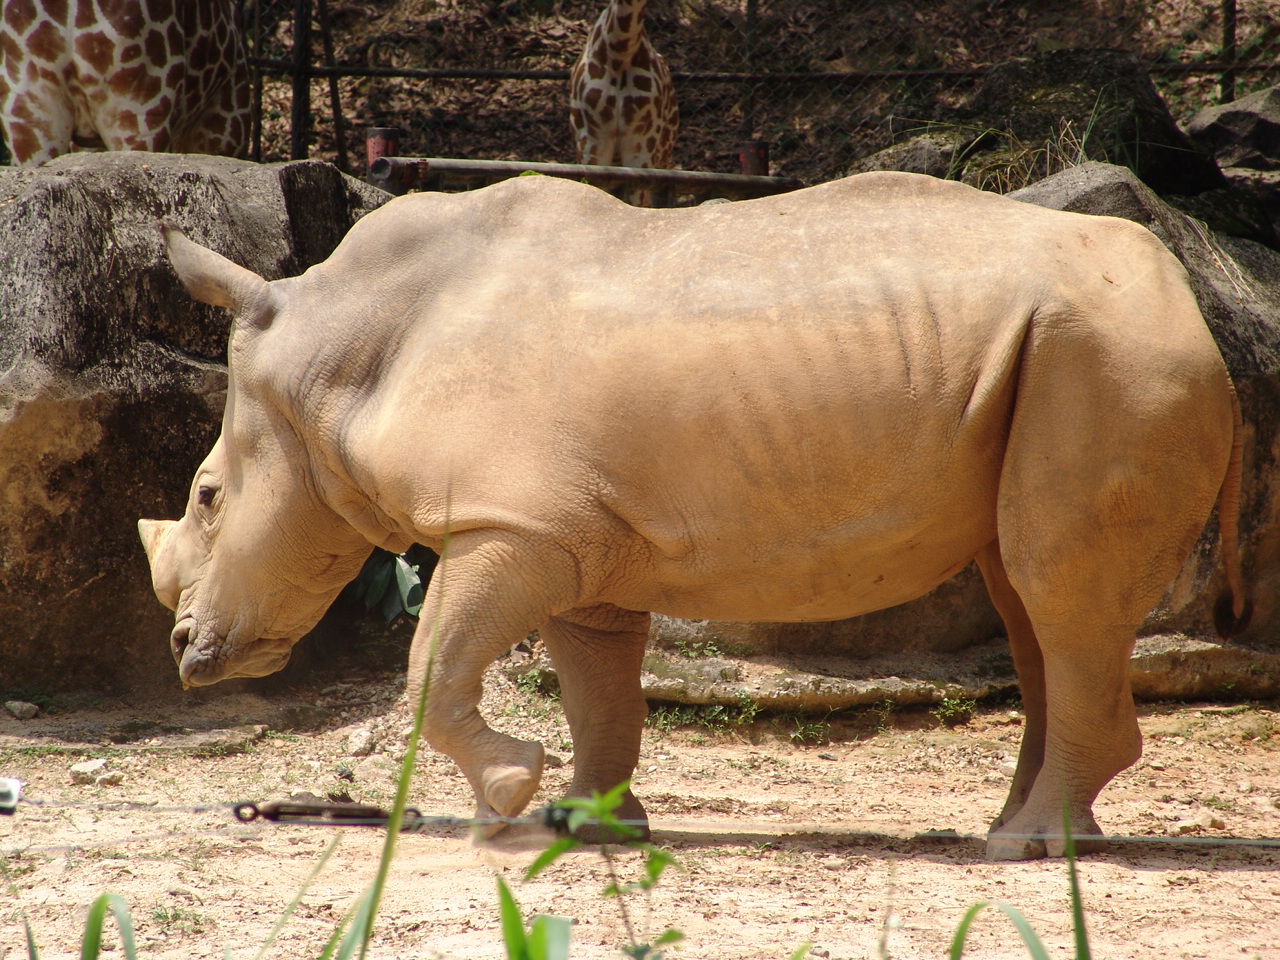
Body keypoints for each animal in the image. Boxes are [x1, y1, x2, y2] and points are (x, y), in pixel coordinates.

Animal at [139, 172, 1246, 861]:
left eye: (207, 497)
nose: (187, 650)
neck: (337, 356)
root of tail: (1194, 307)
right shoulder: (571, 539)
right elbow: (597, 689)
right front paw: (586, 822)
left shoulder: (508, 525)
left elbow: (429, 670)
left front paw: (509, 797)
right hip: (1077, 350)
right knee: (1029, 602)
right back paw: (1031, 831)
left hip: (1108, 355)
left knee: (1055, 596)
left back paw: (1026, 847)